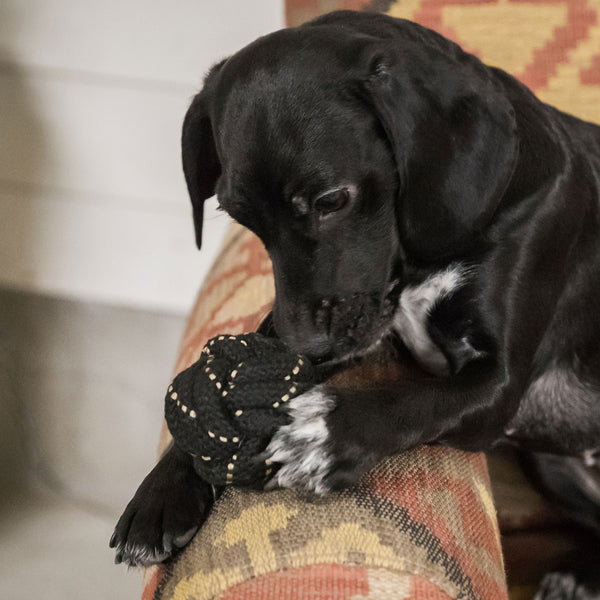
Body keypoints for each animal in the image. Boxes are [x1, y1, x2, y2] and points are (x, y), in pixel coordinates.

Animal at [112, 9, 600, 596]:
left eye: (331, 200)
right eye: (238, 216)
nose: (306, 349)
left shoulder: (500, 385)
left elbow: (415, 400)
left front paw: (328, 432)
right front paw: (160, 494)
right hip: (554, 466)